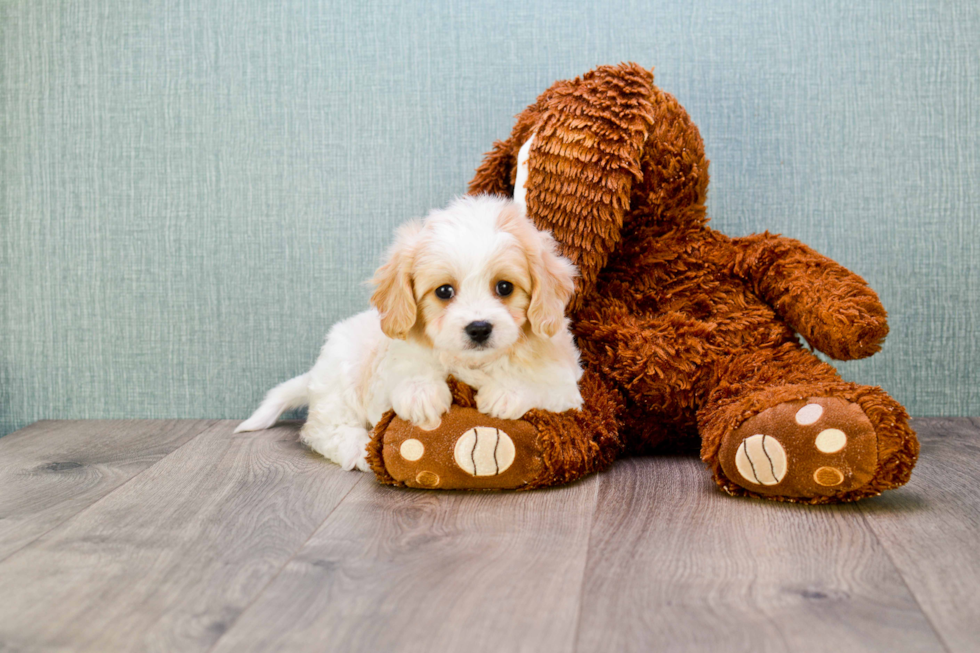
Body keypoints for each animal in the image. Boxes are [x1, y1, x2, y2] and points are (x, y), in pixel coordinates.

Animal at [234, 196, 580, 472]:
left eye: (505, 287)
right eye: (444, 291)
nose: (479, 328)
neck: (472, 365)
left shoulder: (570, 389)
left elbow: (542, 383)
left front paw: (508, 391)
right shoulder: (388, 365)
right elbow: (410, 365)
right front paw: (421, 393)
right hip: (342, 372)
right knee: (324, 428)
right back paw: (360, 450)